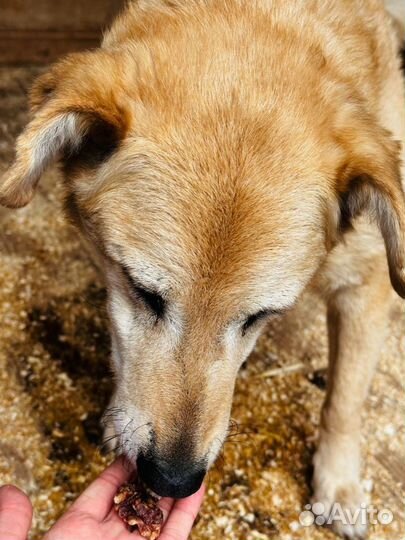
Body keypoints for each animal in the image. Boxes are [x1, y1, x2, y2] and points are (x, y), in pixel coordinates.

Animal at [0, 2, 404, 536]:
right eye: (143, 291)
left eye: (260, 316)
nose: (172, 480)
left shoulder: (367, 286)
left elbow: (345, 398)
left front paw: (337, 483)